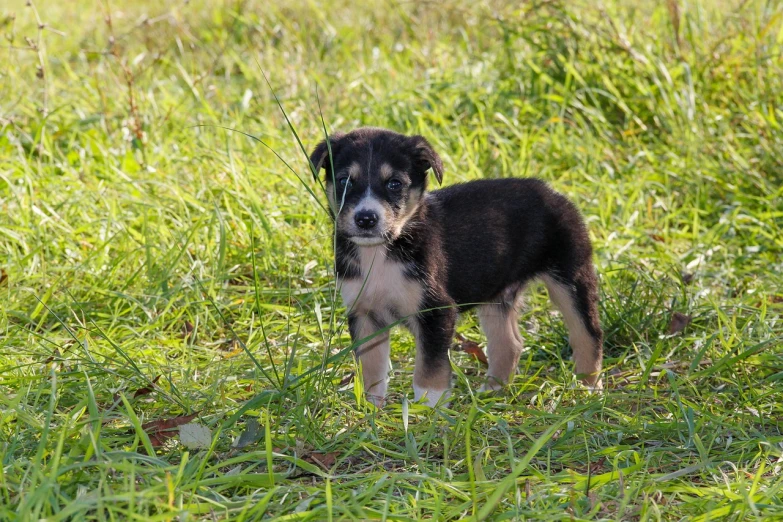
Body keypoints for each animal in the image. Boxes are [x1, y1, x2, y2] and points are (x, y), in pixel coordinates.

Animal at [310, 127, 604, 406]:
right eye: (345, 180)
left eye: (394, 183)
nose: (366, 219)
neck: (382, 252)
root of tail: (551, 191)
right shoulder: (364, 314)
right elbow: (371, 370)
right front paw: (371, 409)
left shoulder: (436, 311)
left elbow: (430, 369)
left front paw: (429, 408)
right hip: (496, 296)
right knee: (509, 344)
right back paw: (492, 394)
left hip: (571, 277)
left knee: (588, 335)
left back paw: (587, 389)